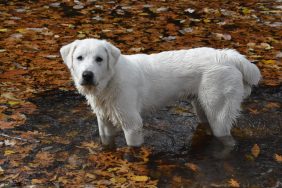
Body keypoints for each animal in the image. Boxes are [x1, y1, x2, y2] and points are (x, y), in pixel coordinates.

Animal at [60, 39, 262, 148]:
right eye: (79, 58)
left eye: (99, 59)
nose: (87, 75)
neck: (110, 80)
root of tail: (229, 56)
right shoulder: (104, 122)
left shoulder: (132, 124)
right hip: (202, 107)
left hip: (218, 110)